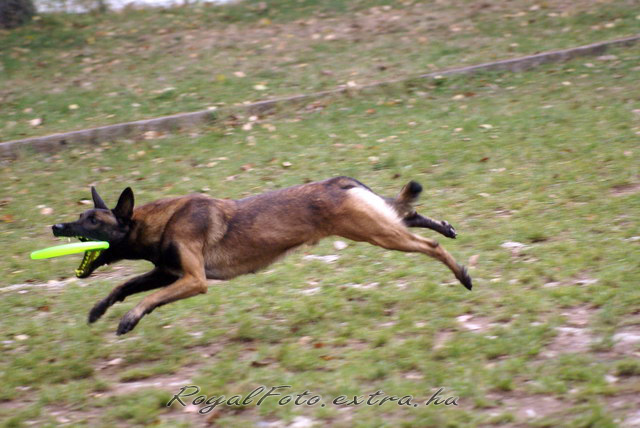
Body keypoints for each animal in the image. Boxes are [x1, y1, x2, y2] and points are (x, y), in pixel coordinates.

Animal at [52, 177, 472, 335]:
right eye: (81, 216)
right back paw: (445, 227)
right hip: (376, 224)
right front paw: (99, 310)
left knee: (429, 246)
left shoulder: (193, 280)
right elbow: (124, 286)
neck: (156, 222)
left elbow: (149, 297)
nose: (56, 227)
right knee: (409, 213)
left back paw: (462, 275)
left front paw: (130, 319)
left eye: (92, 220)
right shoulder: (169, 273)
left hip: (376, 233)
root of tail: (339, 183)